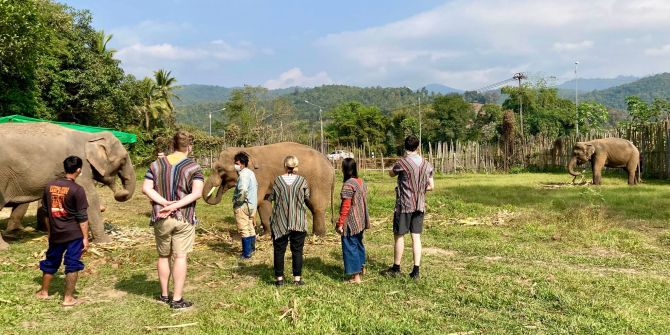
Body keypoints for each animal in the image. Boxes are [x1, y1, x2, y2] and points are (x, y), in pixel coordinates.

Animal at [0, 123, 136, 249]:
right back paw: (5, 247)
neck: (91, 136)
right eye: (124, 159)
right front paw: (106, 242)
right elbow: (89, 197)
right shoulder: (80, 165)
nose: (120, 192)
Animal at [201, 142, 334, 236]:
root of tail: (330, 164)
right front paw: (267, 234)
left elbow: (257, 199)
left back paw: (318, 236)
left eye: (220, 170)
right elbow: (264, 203)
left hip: (320, 181)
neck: (248, 150)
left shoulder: (260, 176)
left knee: (316, 205)